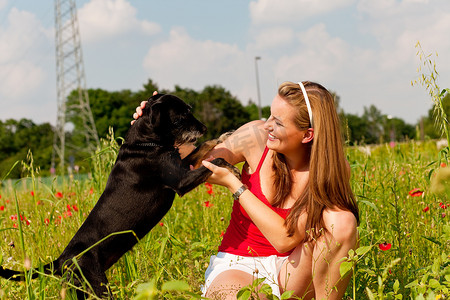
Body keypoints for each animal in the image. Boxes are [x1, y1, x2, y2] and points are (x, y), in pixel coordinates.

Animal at [0, 93, 239, 298]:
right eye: (181, 117)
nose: (204, 127)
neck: (146, 143)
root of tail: (61, 261)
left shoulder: (183, 164)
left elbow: (203, 147)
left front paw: (223, 137)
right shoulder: (180, 182)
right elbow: (215, 161)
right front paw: (232, 170)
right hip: (99, 287)